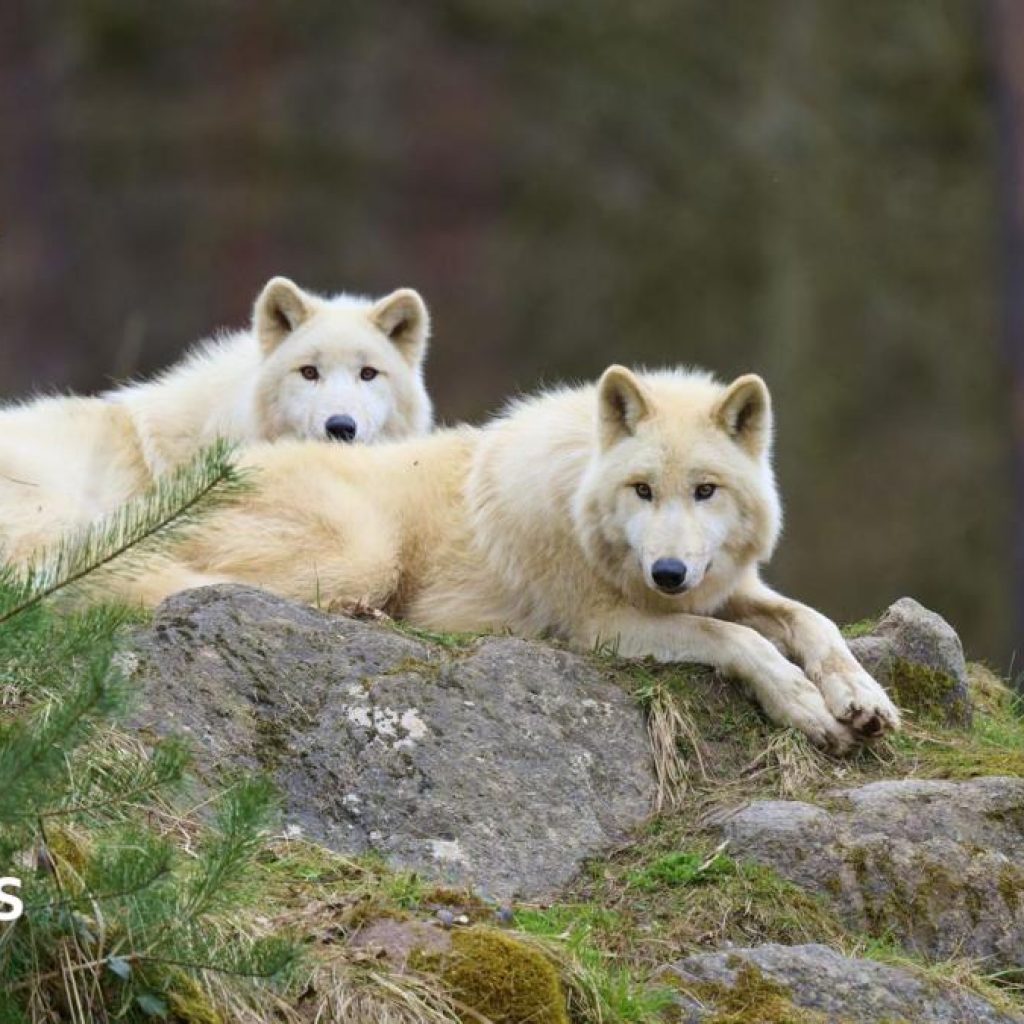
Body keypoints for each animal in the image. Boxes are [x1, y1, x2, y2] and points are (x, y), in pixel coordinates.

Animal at [110, 365, 900, 752]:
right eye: (642, 489)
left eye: (705, 491)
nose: (668, 573)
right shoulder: (604, 626)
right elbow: (737, 640)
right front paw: (804, 706)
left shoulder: (720, 587)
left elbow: (812, 622)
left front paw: (861, 697)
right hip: (361, 552)